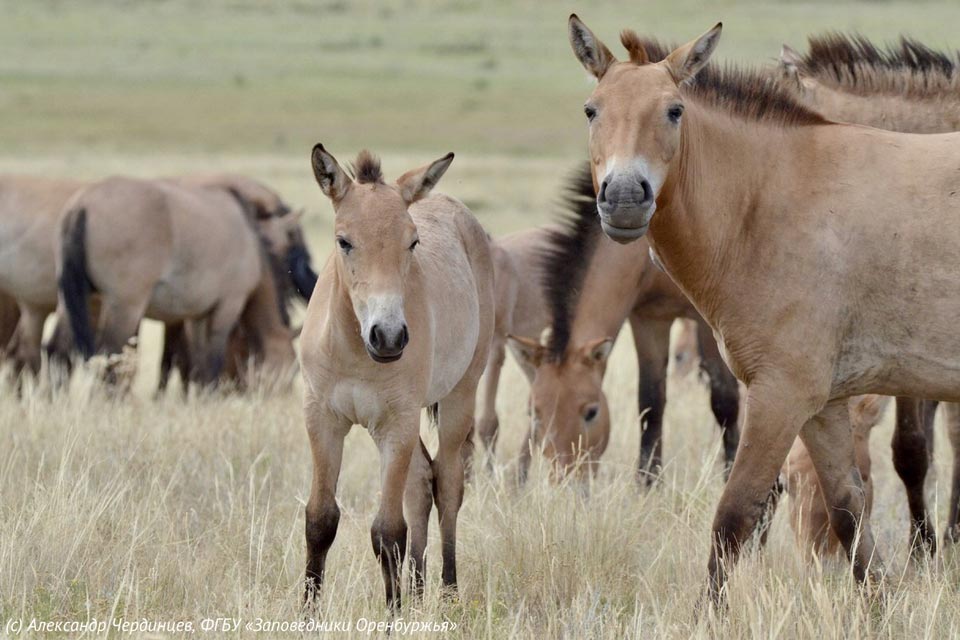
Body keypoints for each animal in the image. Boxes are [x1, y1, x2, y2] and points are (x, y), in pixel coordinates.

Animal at [300, 146, 496, 608]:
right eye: (344, 241)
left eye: (413, 241)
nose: (388, 336)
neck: (355, 353)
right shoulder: (323, 420)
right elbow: (320, 520)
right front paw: (306, 613)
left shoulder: (396, 424)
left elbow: (388, 533)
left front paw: (392, 614)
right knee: (421, 482)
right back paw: (419, 590)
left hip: (460, 396)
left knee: (447, 483)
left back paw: (446, 591)